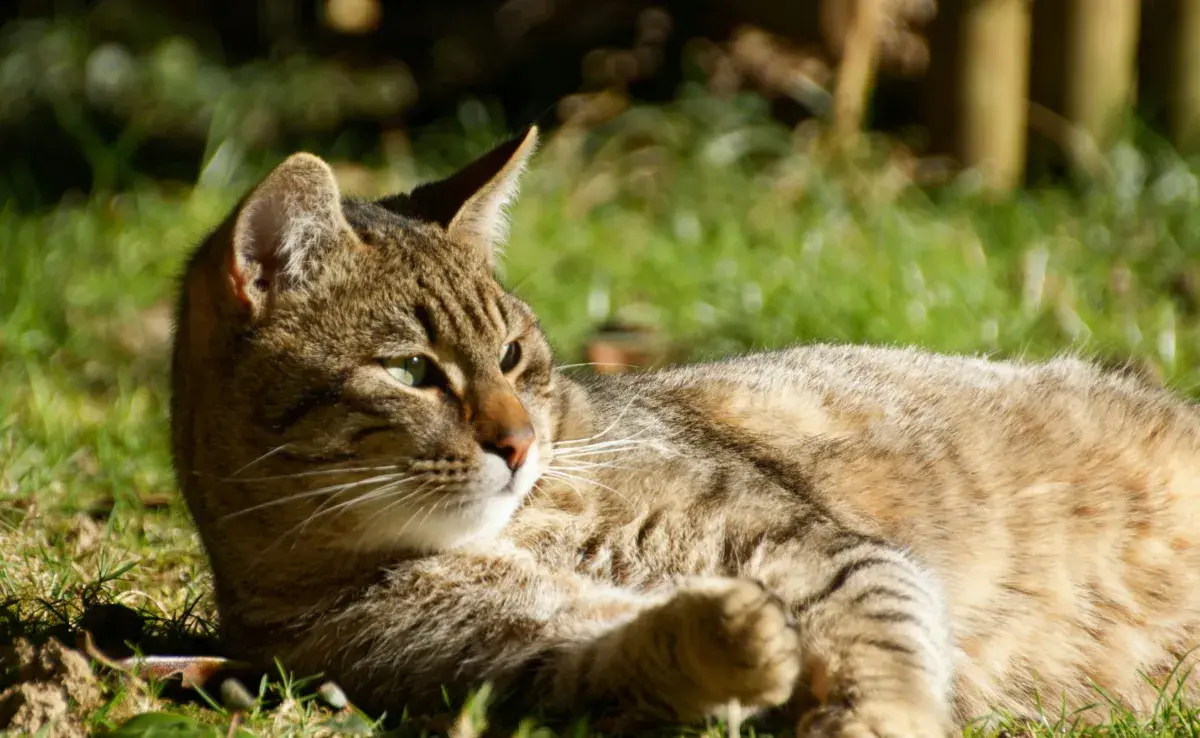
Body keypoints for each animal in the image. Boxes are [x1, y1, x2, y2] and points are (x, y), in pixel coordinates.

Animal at [171, 127, 1200, 734]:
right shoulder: (485, 660)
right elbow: (617, 657)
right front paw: (730, 638)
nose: (518, 444)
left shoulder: (827, 549)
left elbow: (883, 644)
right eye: (413, 372)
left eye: (512, 355)